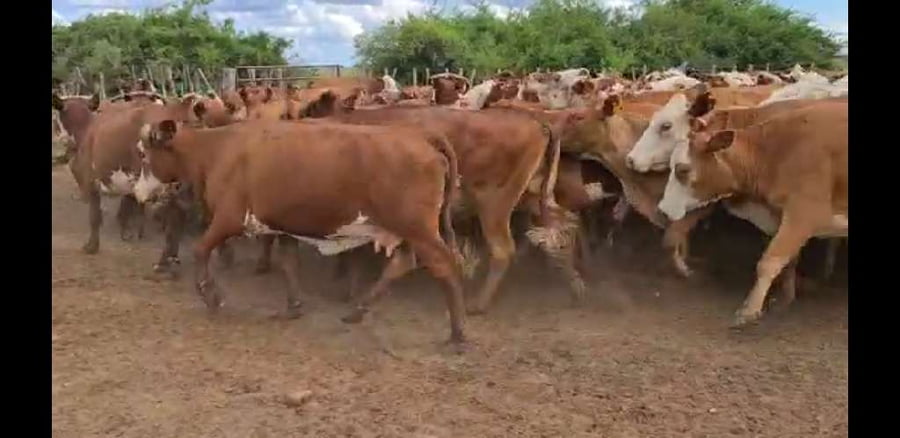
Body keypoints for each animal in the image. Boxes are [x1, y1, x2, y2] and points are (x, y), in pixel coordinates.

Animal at [139, 119, 468, 343]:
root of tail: (418, 134)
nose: (138, 192)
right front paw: (293, 307)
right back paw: (357, 311)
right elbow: (288, 264)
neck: (217, 150)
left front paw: (211, 296)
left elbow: (200, 249)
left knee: (444, 265)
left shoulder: (229, 217)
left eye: (143, 155)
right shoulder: (282, 226)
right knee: (403, 263)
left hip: (418, 228)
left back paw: (457, 333)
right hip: (403, 230)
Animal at [657, 100, 848, 326]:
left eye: (683, 170)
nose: (663, 209)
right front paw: (785, 299)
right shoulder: (783, 216)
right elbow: (789, 261)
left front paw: (749, 311)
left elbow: (769, 261)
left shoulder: (805, 213)